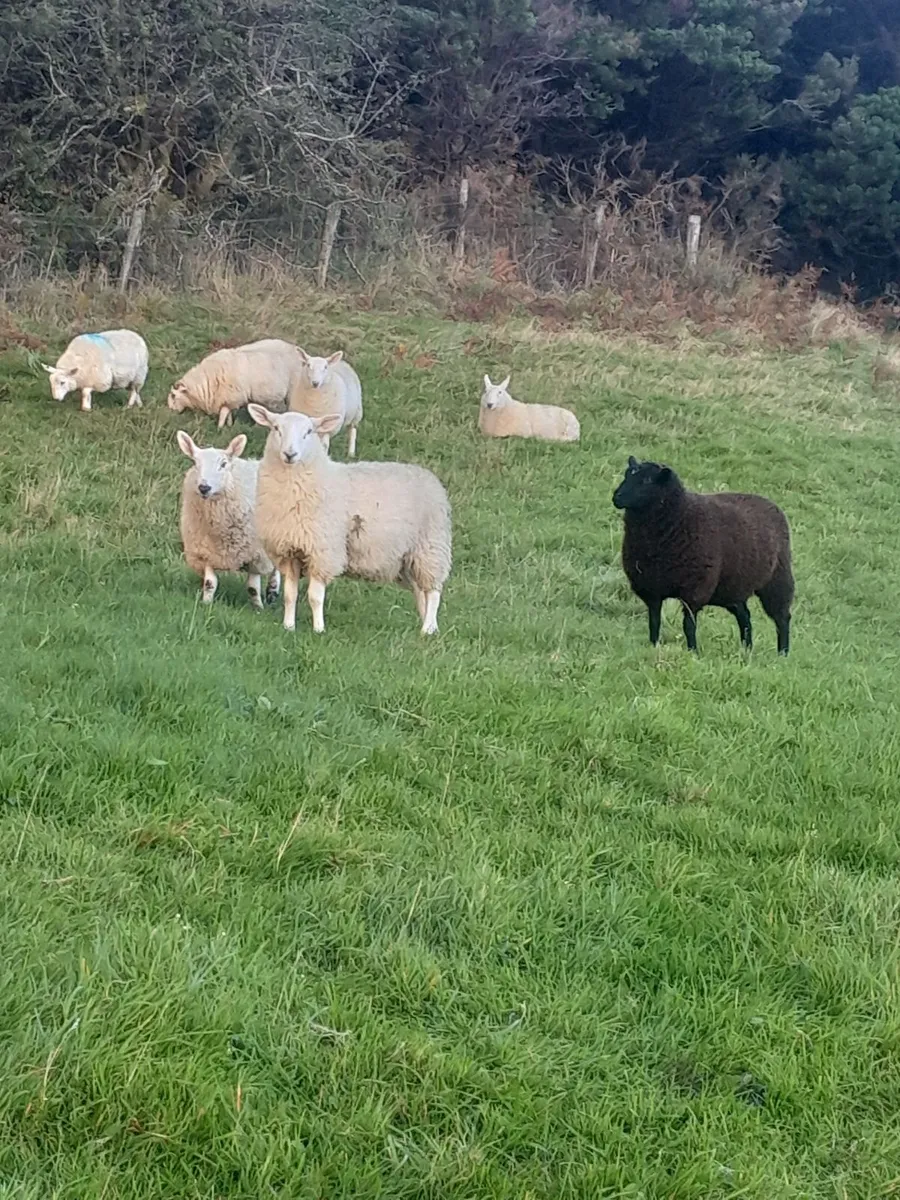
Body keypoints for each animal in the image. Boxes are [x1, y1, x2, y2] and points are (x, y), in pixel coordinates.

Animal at [167, 339, 305, 430]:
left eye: (173, 396)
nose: (170, 412)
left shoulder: (233, 396)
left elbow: (223, 414)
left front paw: (219, 428)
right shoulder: (227, 399)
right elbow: (227, 412)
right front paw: (228, 425)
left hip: (294, 391)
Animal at [176, 430, 281, 610]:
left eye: (224, 464)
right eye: (195, 463)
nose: (204, 488)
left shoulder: (255, 553)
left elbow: (252, 588)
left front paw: (258, 609)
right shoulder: (207, 551)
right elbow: (210, 583)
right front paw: (206, 603)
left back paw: (273, 591)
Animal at [247, 405, 451, 635]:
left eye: (309, 431)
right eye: (276, 428)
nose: (290, 454)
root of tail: (430, 478)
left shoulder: (322, 552)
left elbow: (315, 597)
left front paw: (319, 629)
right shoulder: (289, 552)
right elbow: (290, 595)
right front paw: (288, 626)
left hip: (430, 547)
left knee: (433, 592)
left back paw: (427, 628)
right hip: (407, 558)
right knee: (420, 591)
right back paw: (430, 627)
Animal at [612, 456, 794, 655]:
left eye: (647, 480)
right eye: (627, 474)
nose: (617, 497)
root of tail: (770, 503)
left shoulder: (694, 589)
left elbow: (688, 625)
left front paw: (693, 651)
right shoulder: (651, 589)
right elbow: (654, 622)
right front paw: (654, 645)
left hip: (777, 578)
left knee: (782, 617)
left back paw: (783, 653)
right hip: (730, 588)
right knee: (744, 615)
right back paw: (747, 649)